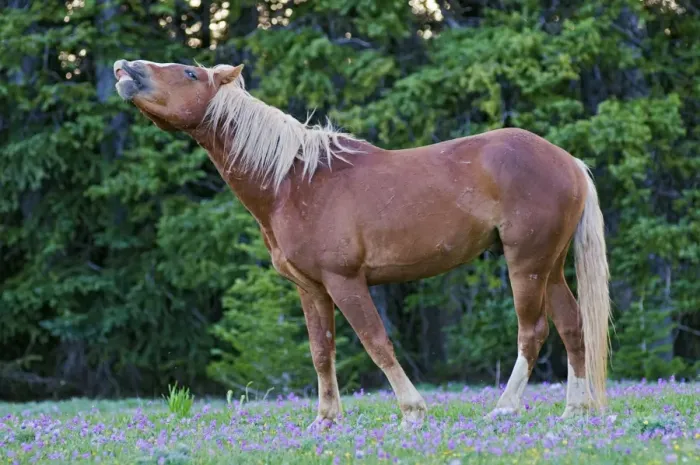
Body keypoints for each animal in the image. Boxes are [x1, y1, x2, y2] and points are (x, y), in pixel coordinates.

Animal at [113, 59, 611, 428]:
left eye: (189, 73)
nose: (126, 67)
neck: (296, 181)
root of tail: (568, 161)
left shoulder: (345, 281)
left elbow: (375, 342)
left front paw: (412, 411)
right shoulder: (311, 288)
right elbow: (322, 351)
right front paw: (326, 419)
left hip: (525, 263)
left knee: (533, 331)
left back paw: (505, 407)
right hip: (549, 265)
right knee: (571, 326)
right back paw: (575, 410)